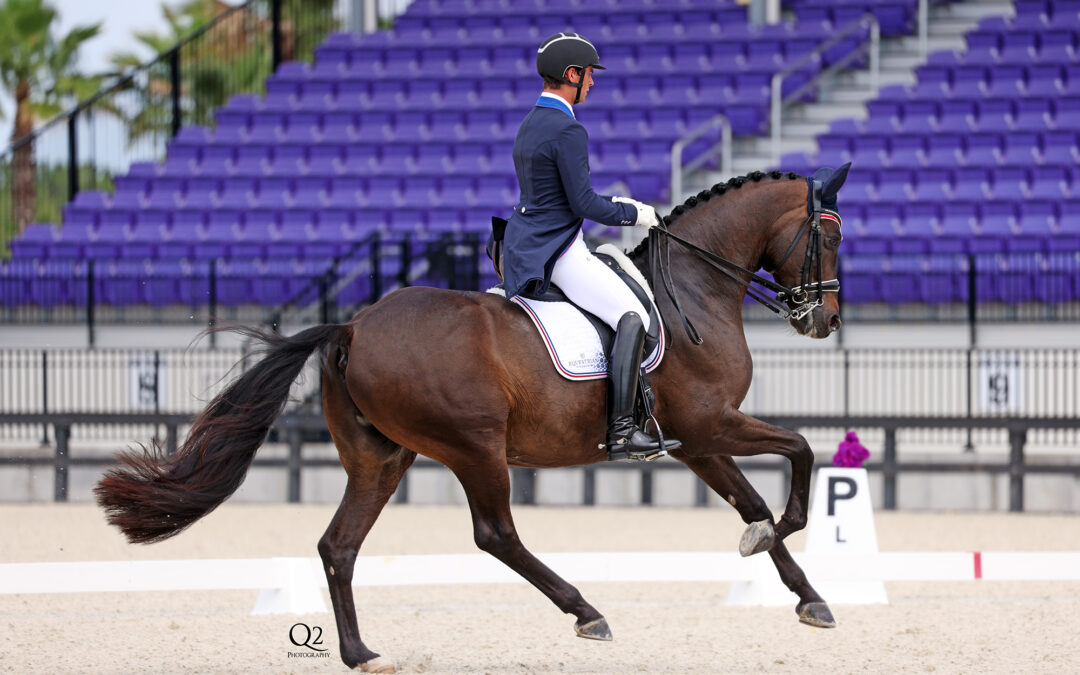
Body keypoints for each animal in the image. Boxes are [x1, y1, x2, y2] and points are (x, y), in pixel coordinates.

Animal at [97, 167, 846, 669]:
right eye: (830, 236)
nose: (825, 320)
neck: (692, 289)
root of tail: (352, 325)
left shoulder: (694, 440)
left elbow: (752, 500)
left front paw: (807, 595)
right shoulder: (712, 423)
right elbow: (801, 452)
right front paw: (782, 536)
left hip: (382, 458)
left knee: (339, 545)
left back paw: (361, 652)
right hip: (476, 446)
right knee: (496, 534)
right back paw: (587, 612)